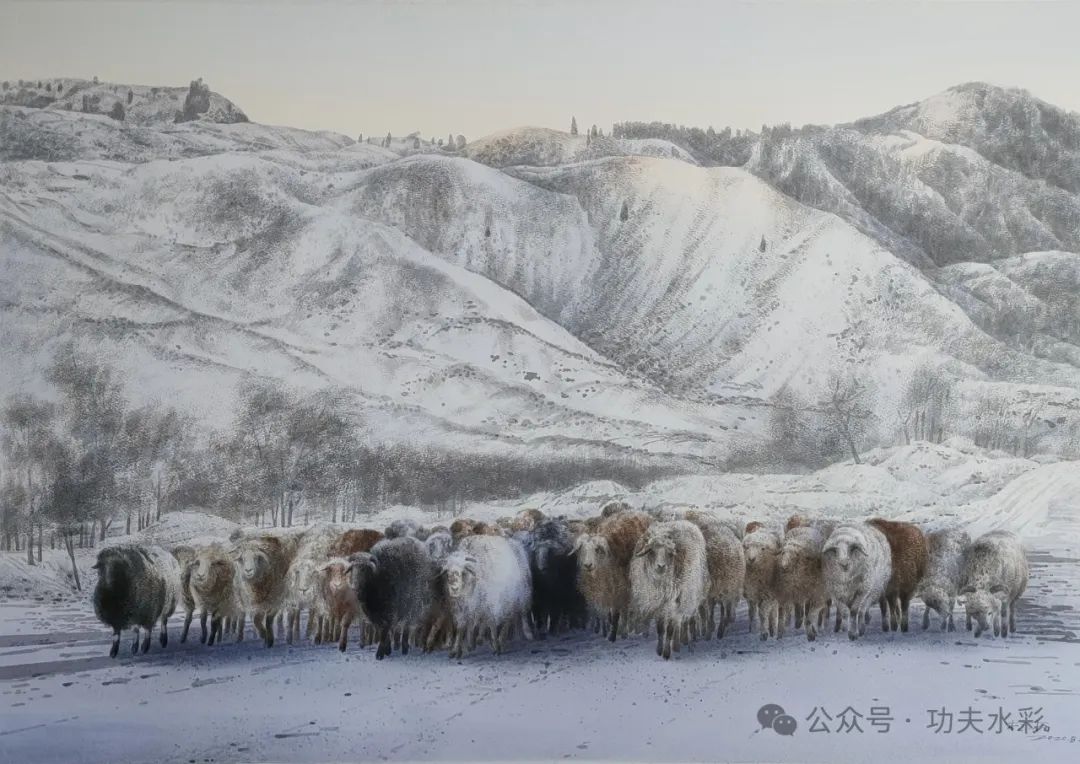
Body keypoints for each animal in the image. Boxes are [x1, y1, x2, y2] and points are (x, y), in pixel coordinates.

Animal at [574, 510, 648, 644]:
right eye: (582, 549)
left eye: (597, 549)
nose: (588, 565)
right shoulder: (603, 593)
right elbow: (605, 614)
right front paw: (609, 632)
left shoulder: (618, 591)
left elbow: (615, 615)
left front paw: (613, 636)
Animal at [630, 523, 712, 661]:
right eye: (652, 551)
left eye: (669, 553)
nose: (661, 566)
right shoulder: (659, 605)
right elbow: (660, 630)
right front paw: (659, 650)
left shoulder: (674, 604)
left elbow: (669, 630)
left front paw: (667, 653)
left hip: (690, 598)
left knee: (685, 621)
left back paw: (683, 643)